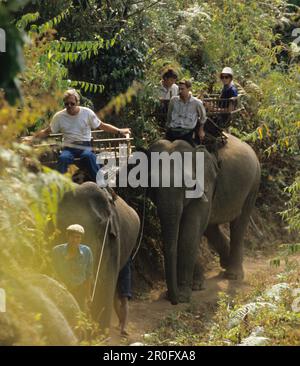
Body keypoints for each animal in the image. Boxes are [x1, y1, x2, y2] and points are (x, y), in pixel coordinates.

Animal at [148, 134, 260, 306]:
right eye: (152, 186)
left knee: (239, 224)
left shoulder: (206, 184)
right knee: (210, 227)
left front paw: (183, 296)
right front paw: (195, 287)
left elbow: (189, 232)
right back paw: (225, 263)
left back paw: (233, 275)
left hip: (253, 184)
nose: (172, 300)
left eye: (186, 184)